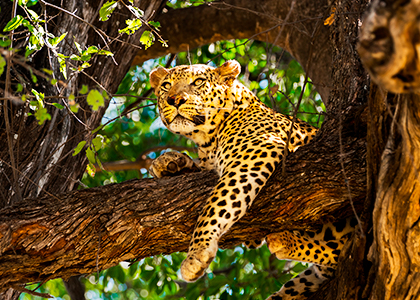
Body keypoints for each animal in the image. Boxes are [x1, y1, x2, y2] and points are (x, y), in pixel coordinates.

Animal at [148, 59, 354, 298]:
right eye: (166, 86)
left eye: (198, 82)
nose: (174, 100)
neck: (208, 141)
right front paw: (170, 162)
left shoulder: (254, 154)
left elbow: (215, 206)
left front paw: (197, 253)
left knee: (342, 247)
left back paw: (286, 242)